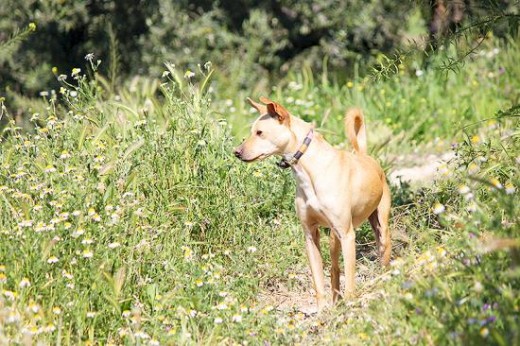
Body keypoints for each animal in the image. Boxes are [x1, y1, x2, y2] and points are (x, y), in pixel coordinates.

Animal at [235, 96, 390, 310]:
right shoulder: (310, 234)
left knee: (383, 254)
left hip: (379, 227)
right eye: (252, 131)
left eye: (259, 133)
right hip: (333, 238)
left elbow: (350, 278)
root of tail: (363, 155)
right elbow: (318, 279)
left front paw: (350, 303)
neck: (310, 170)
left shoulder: (348, 235)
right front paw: (321, 310)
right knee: (334, 269)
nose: (236, 152)